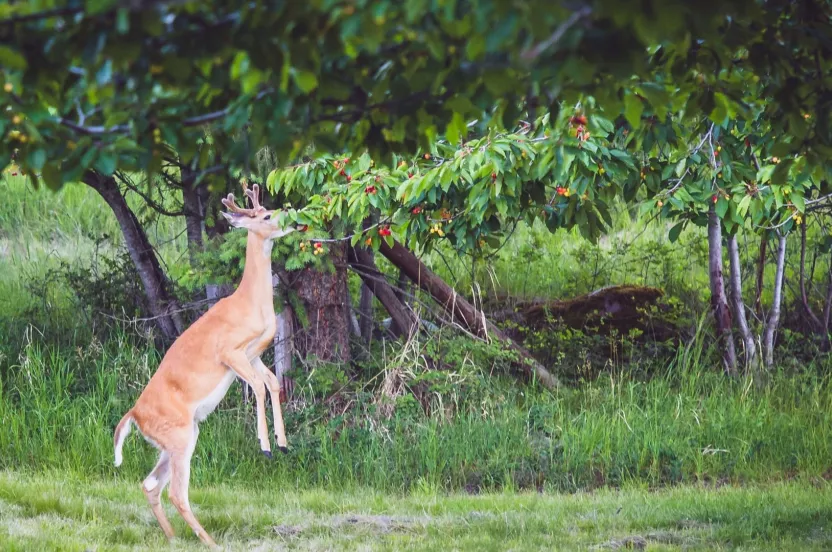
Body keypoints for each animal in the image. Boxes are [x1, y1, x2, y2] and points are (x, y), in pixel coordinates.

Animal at [113, 182, 296, 548]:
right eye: (265, 216)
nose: (291, 218)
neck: (250, 303)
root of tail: (134, 415)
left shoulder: (254, 353)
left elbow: (272, 383)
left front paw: (282, 443)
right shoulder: (230, 352)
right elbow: (258, 386)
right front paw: (265, 446)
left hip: (178, 438)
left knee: (150, 484)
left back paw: (173, 538)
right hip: (180, 436)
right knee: (176, 492)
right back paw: (209, 541)